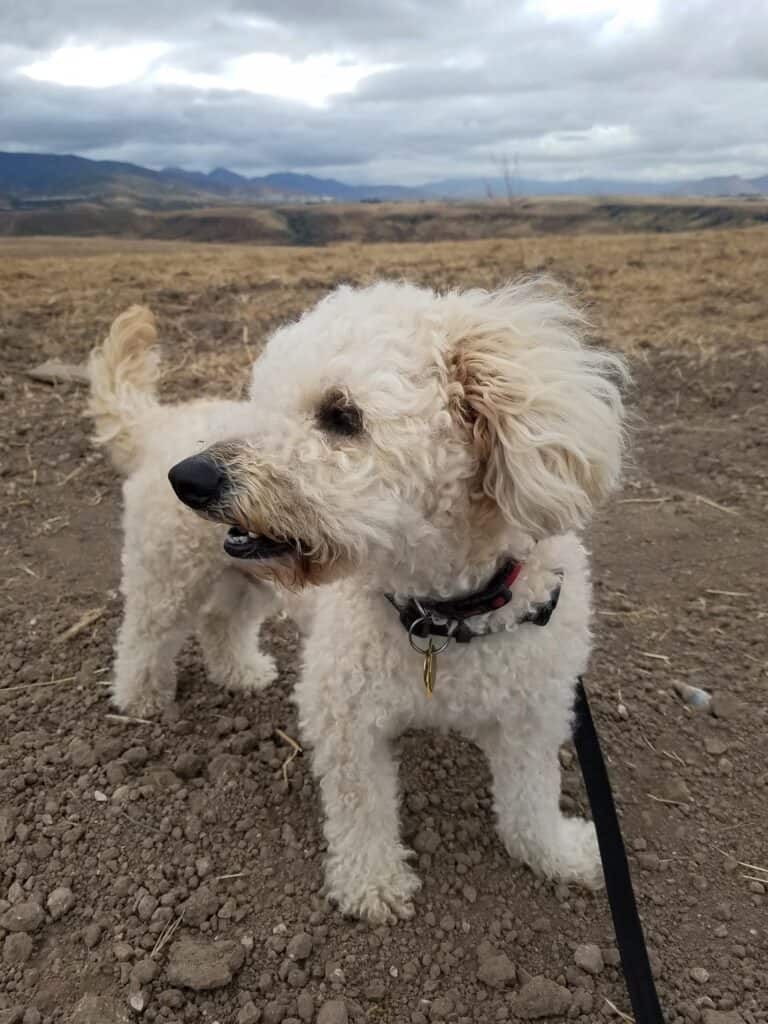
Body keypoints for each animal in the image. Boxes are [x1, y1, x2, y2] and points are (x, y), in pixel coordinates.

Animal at [91, 282, 630, 929]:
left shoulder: (533, 714)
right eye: (261, 398)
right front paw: (371, 885)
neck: (446, 615)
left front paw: (557, 854)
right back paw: (141, 698)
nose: (191, 478)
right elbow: (362, 810)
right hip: (167, 571)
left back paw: (240, 672)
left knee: (224, 620)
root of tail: (161, 422)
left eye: (341, 415)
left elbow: (530, 798)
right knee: (145, 633)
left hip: (250, 577)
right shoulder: (346, 719)